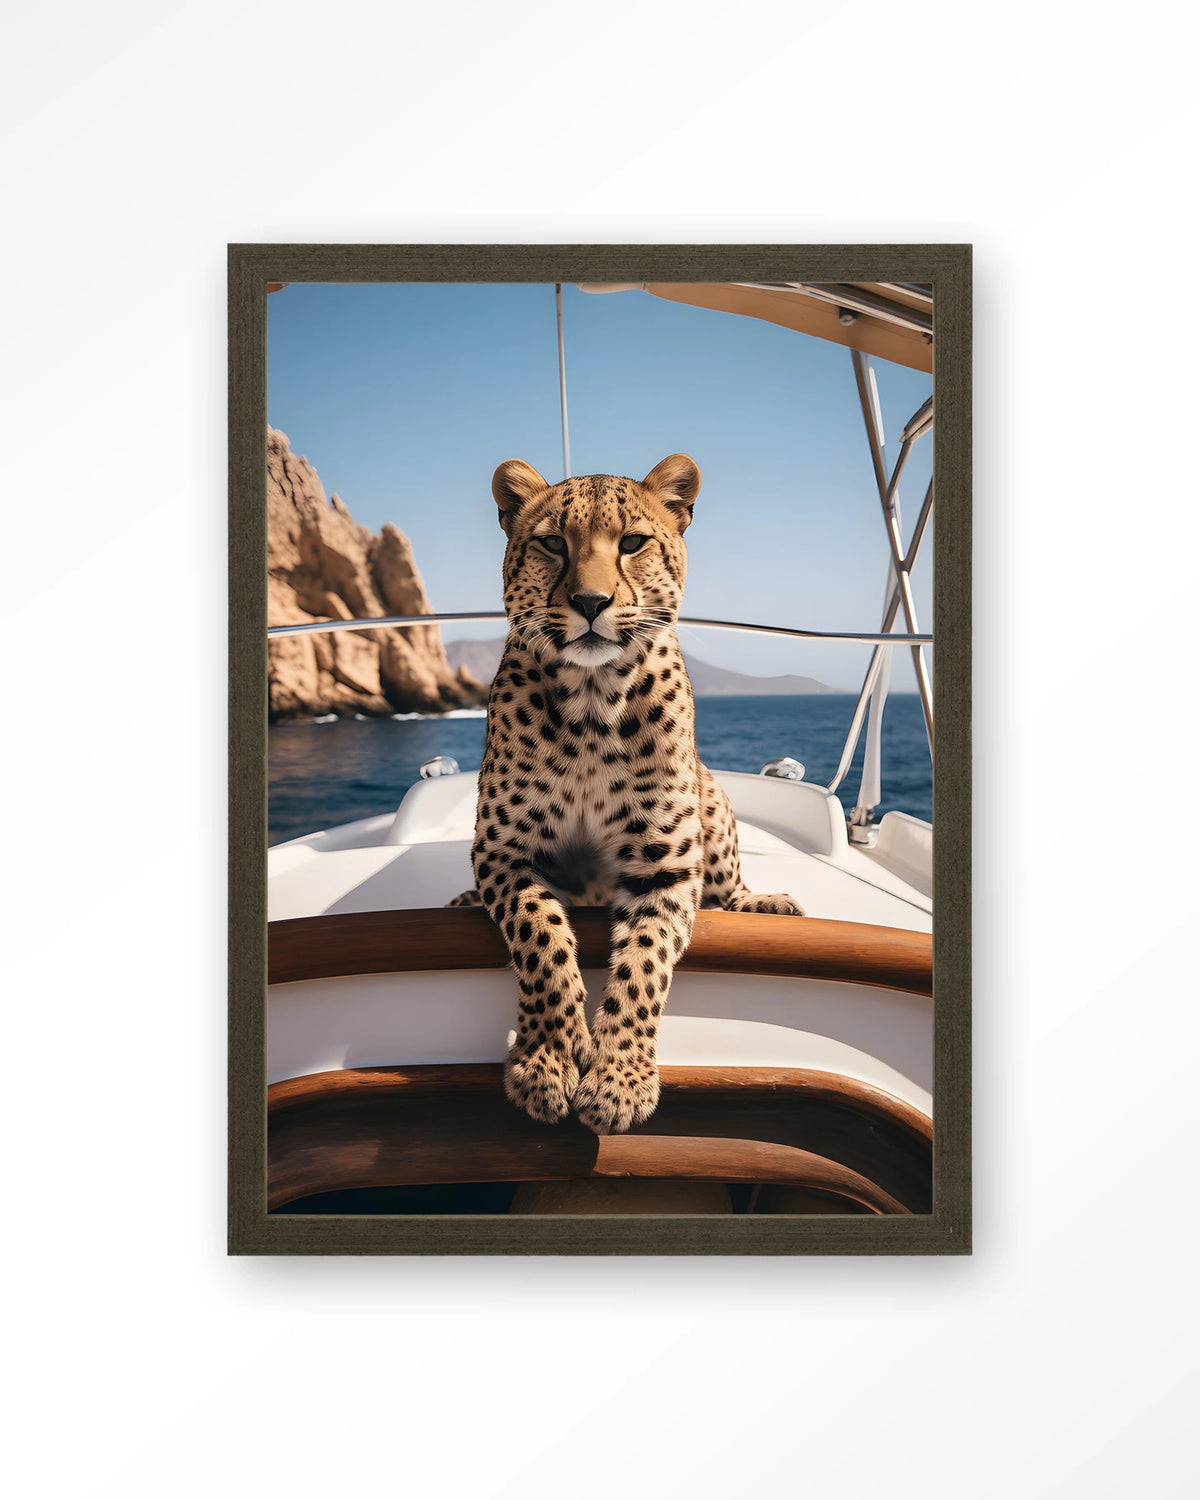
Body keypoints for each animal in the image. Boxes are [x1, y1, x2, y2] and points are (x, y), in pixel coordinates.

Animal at [447, 453, 804, 1135]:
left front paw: (618, 1081)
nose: (591, 601)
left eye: (633, 543)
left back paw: (763, 905)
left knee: (727, 888)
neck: (592, 703)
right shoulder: (504, 852)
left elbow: (643, 966)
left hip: (713, 800)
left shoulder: (665, 867)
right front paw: (550, 1061)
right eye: (553, 544)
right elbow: (542, 937)